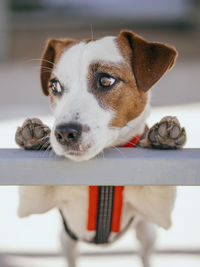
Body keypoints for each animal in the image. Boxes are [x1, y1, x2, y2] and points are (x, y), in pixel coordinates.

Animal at [15, 29, 186, 267]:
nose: (64, 133)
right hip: (66, 240)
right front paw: (34, 137)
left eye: (105, 80)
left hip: (146, 233)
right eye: (54, 86)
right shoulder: (30, 204)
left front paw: (164, 138)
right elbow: (33, 189)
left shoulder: (160, 212)